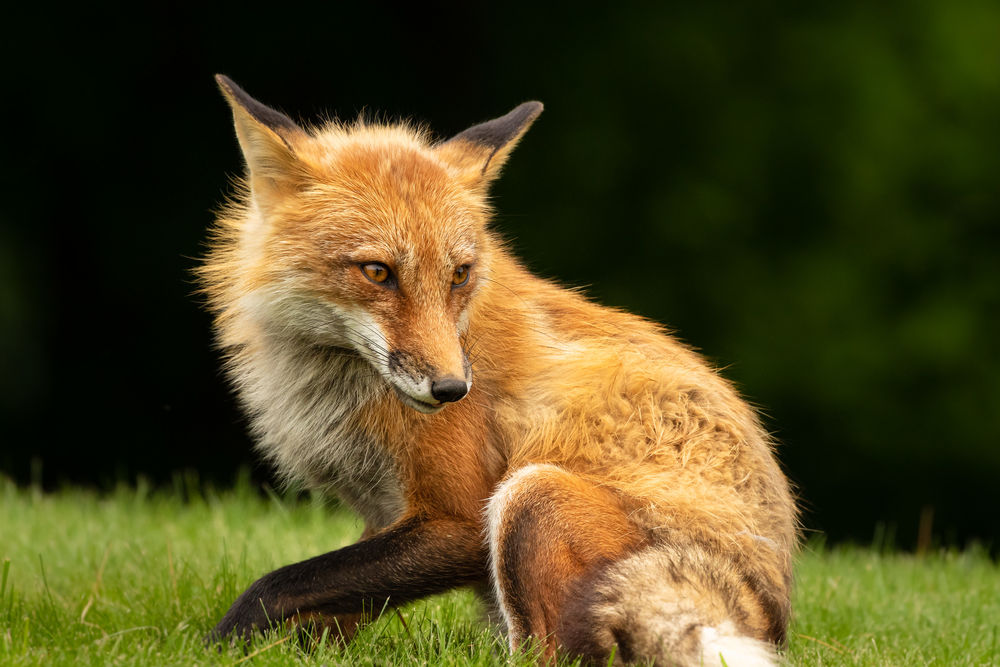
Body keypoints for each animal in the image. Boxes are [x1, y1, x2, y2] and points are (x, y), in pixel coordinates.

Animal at [200, 74, 797, 666]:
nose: (453, 390)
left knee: (547, 653)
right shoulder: (384, 515)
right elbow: (331, 609)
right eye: (377, 272)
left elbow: (281, 584)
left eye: (459, 274)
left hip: (530, 497)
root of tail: (769, 610)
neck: (334, 380)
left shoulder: (462, 520)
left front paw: (218, 644)